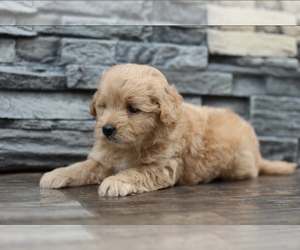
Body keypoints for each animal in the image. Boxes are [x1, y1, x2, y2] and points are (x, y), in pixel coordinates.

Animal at [39, 63, 298, 196]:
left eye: (132, 109)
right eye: (104, 106)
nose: (107, 129)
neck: (132, 146)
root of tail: (257, 154)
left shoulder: (162, 166)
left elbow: (135, 172)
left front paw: (115, 182)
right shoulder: (101, 160)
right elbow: (80, 167)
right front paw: (56, 174)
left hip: (239, 167)